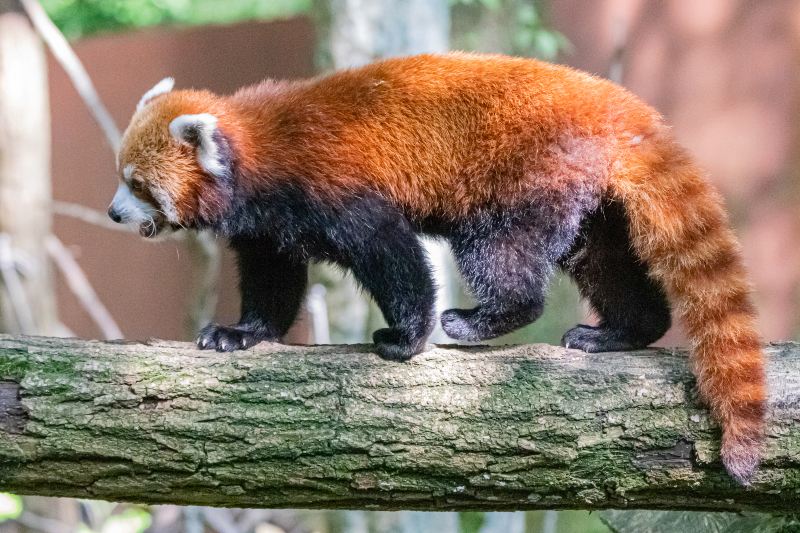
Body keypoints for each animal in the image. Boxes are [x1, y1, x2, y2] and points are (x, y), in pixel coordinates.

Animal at [108, 52, 768, 484]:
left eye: (138, 184)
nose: (114, 212)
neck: (256, 153)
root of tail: (613, 103)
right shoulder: (269, 227)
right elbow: (273, 281)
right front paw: (241, 333)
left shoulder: (333, 188)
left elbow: (392, 253)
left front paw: (407, 337)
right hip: (590, 202)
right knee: (603, 264)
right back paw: (619, 332)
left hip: (521, 177)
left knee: (505, 259)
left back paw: (478, 320)